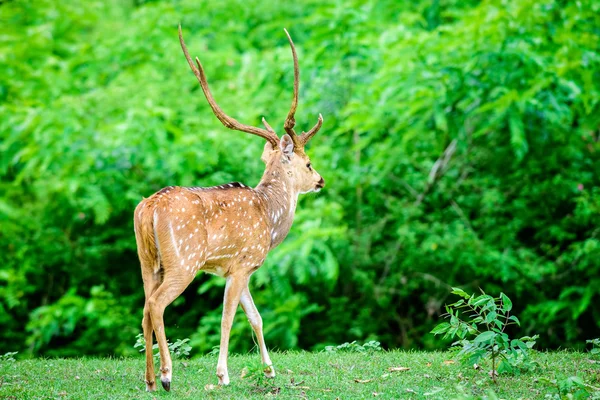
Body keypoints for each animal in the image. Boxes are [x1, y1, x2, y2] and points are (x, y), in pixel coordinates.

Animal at [134, 25, 326, 394]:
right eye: (308, 163)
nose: (321, 180)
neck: (270, 217)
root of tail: (149, 208)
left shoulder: (242, 267)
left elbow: (256, 317)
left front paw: (269, 370)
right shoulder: (242, 263)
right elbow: (227, 318)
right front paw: (223, 374)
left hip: (147, 260)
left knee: (144, 306)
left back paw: (149, 380)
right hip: (184, 261)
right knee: (157, 304)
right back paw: (166, 376)